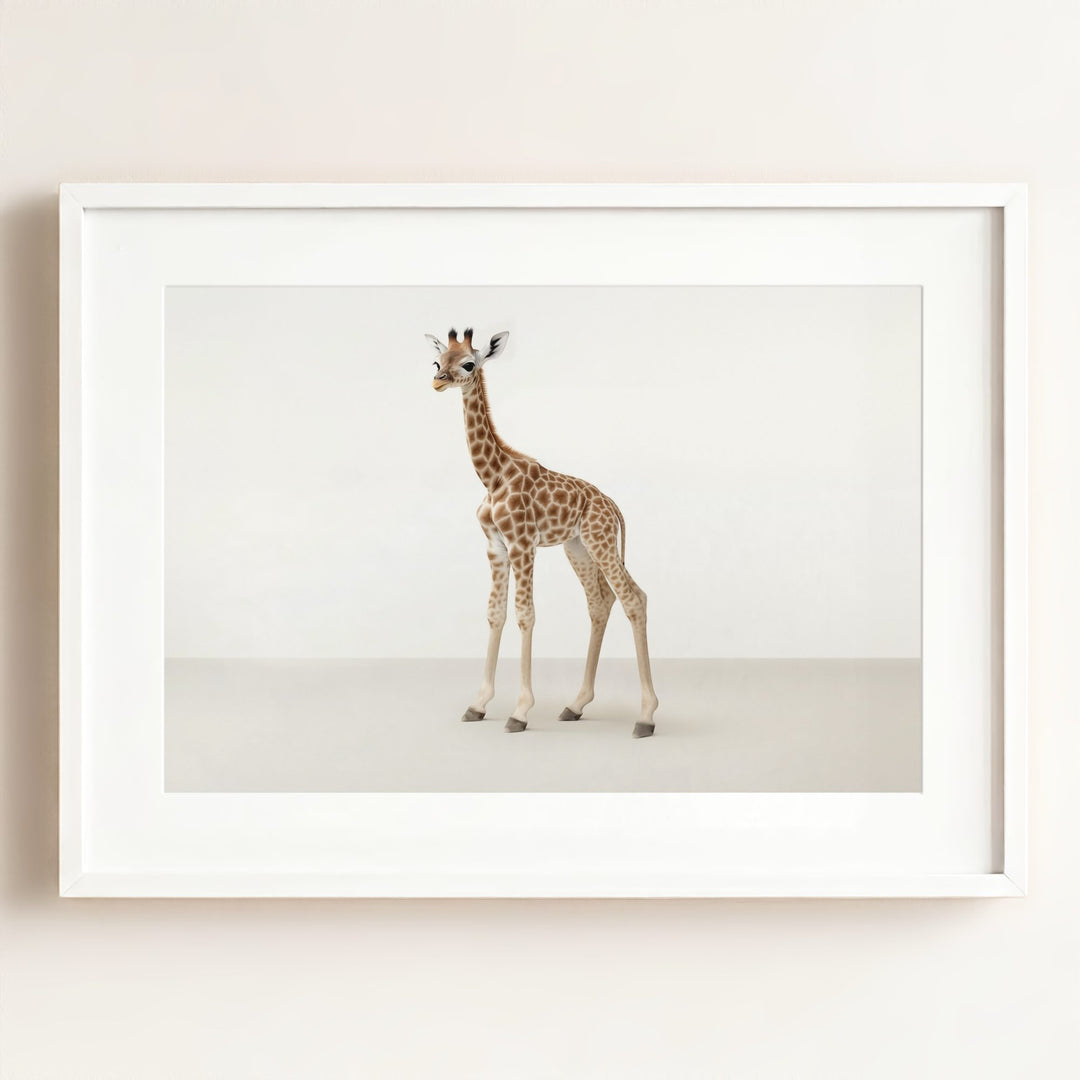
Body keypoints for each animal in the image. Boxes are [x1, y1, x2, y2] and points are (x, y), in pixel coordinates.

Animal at [428, 326, 659, 738]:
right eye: (437, 361)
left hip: (600, 541)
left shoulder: (523, 544)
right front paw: (478, 705)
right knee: (602, 602)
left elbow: (525, 614)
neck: (493, 477)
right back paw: (575, 704)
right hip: (578, 547)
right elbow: (495, 613)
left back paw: (645, 717)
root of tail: (612, 505)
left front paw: (519, 711)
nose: (438, 381)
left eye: (468, 363)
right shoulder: (496, 547)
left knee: (633, 598)